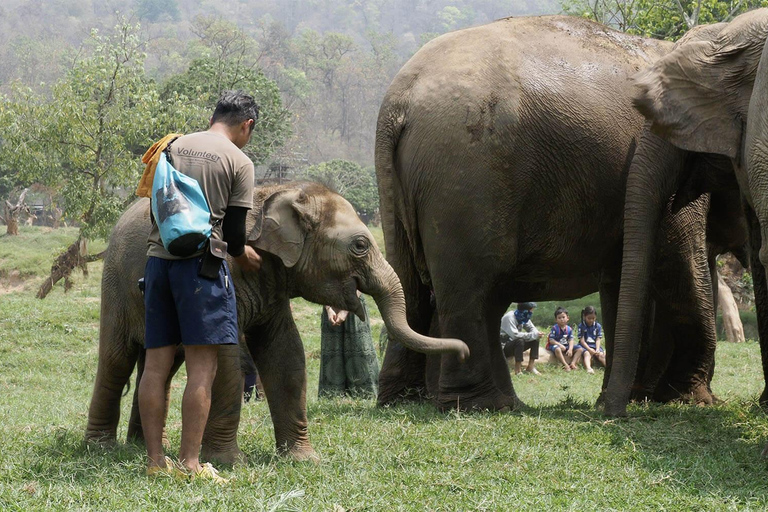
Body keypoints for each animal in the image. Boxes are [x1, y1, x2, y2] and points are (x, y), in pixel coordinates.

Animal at [372, 14, 744, 412]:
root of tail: (398, 99)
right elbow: (681, 262)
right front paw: (693, 400)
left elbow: (624, 278)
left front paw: (637, 396)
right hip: (465, 173)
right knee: (473, 288)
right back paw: (483, 405)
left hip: (411, 189)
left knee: (416, 284)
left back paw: (409, 400)